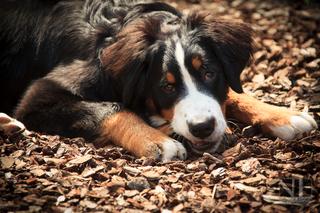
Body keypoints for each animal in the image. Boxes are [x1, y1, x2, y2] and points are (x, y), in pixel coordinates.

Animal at [0, 0, 316, 161]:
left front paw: (282, 115)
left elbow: (234, 94)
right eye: (167, 86)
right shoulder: (41, 94)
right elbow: (114, 108)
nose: (202, 127)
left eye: (209, 74)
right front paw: (156, 140)